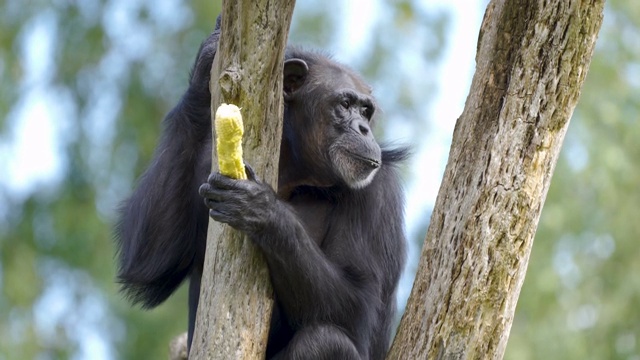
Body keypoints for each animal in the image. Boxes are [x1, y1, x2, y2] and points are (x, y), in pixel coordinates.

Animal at [115, 17, 408, 360]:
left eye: (365, 111)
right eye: (345, 104)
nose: (363, 128)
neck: (294, 171)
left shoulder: (378, 194)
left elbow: (360, 301)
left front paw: (260, 207)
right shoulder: (203, 164)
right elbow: (151, 261)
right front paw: (206, 62)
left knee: (325, 341)